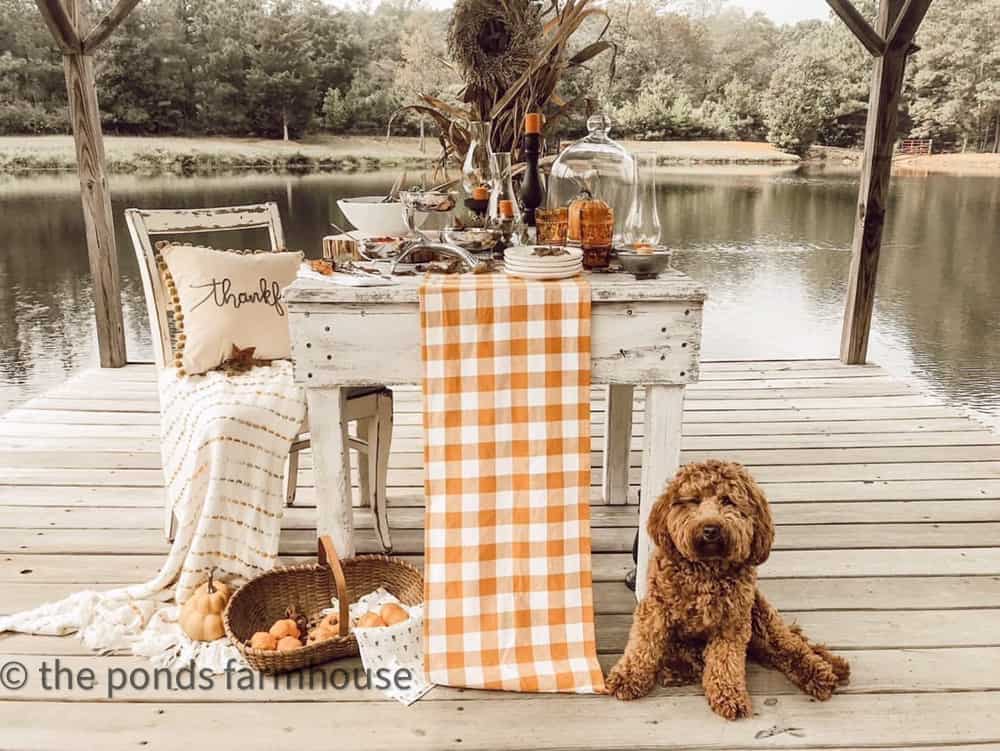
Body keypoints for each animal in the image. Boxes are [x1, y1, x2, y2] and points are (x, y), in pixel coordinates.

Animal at [604, 462, 848, 720]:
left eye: (728, 500)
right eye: (694, 500)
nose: (710, 528)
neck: (706, 569)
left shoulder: (732, 621)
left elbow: (726, 660)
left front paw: (729, 694)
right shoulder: (656, 609)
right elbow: (643, 644)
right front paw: (628, 676)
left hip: (762, 618)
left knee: (791, 647)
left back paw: (823, 673)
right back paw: (680, 668)